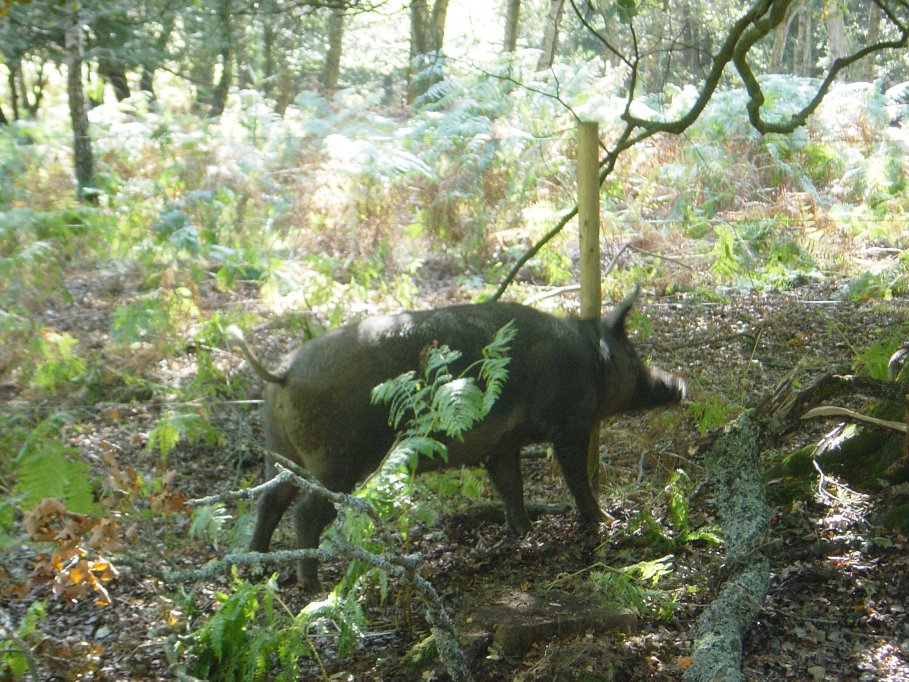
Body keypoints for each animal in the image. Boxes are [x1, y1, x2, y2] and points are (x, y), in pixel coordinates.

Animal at [228, 287, 685, 591]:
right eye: (635, 355)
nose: (678, 384)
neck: (589, 357)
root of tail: (284, 371)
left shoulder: (502, 443)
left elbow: (511, 487)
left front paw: (524, 532)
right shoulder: (568, 425)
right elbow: (574, 479)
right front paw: (604, 520)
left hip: (279, 448)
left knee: (268, 501)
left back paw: (255, 570)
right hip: (336, 460)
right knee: (306, 513)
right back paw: (312, 588)